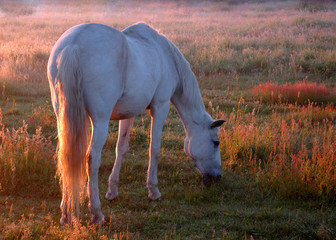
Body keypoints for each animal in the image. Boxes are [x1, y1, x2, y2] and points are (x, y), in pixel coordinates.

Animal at [46, 21, 226, 224]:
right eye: (216, 142)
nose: (218, 177)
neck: (166, 56)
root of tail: (73, 45)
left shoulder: (128, 114)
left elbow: (121, 149)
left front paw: (112, 191)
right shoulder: (161, 107)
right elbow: (154, 149)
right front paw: (154, 191)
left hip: (63, 117)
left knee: (66, 156)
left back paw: (66, 214)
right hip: (100, 121)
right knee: (91, 158)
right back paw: (97, 213)